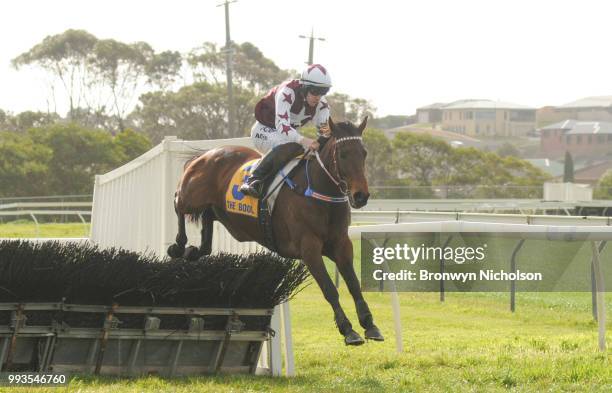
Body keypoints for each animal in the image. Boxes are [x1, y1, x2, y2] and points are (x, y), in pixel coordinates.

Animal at [167, 116, 382, 344]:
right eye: (343, 154)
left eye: (364, 153)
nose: (361, 196)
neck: (318, 192)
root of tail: (205, 154)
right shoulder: (309, 248)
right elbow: (329, 289)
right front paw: (347, 329)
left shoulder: (341, 244)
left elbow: (354, 285)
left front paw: (370, 324)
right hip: (192, 196)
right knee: (177, 202)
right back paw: (178, 245)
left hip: (221, 212)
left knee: (206, 220)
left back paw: (194, 251)